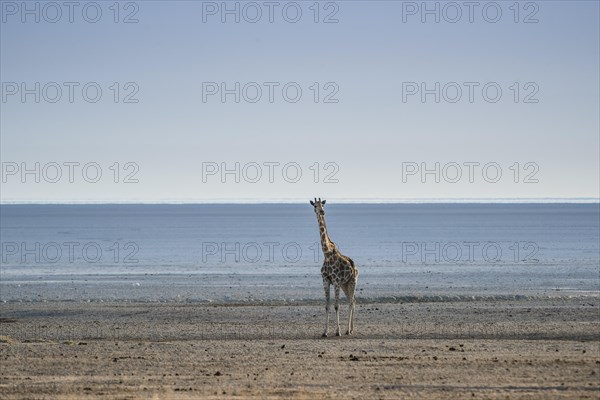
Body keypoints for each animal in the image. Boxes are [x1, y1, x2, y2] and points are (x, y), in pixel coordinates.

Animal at [312, 198, 358, 336]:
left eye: (323, 204)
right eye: (314, 205)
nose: (322, 211)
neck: (326, 253)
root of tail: (355, 268)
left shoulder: (336, 281)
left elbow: (337, 306)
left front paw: (338, 332)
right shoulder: (326, 281)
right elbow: (327, 306)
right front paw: (325, 332)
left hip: (352, 282)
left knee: (351, 302)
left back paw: (348, 330)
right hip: (345, 284)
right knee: (352, 301)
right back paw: (351, 329)